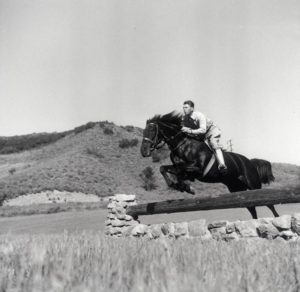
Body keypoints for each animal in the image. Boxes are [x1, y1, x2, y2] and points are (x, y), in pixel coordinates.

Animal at [141, 112, 278, 219]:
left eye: (152, 130)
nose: (143, 152)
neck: (182, 144)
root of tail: (249, 161)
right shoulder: (182, 169)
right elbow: (164, 169)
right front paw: (182, 187)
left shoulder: (197, 169)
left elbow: (178, 170)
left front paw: (184, 187)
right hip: (236, 188)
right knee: (251, 207)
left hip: (253, 184)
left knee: (269, 203)